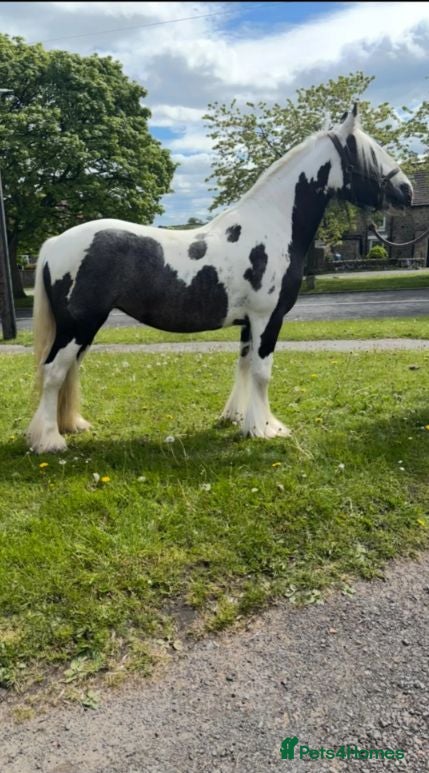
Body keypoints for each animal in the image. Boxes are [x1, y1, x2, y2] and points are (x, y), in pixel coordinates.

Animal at [27, 105, 413, 453]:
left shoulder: (249, 323)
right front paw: (266, 428)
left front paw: (239, 419)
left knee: (66, 372)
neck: (271, 226)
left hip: (83, 328)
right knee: (54, 372)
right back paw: (49, 441)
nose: (407, 191)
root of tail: (56, 242)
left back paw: (69, 426)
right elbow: (262, 371)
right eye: (371, 152)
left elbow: (244, 365)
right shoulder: (267, 319)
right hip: (79, 325)